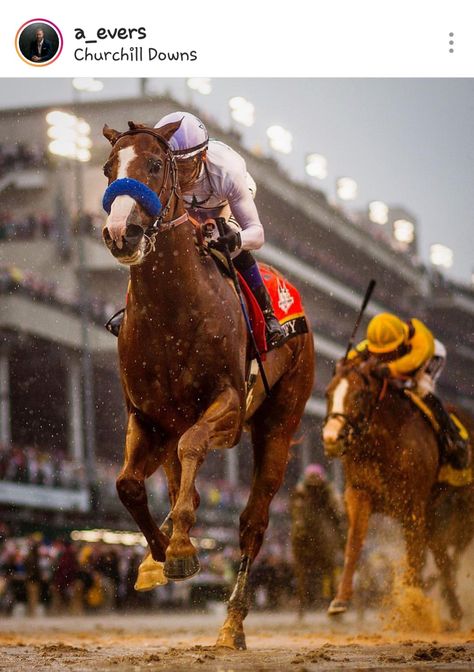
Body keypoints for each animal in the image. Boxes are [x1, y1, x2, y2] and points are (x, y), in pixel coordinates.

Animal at [101, 119, 314, 644]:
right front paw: (161, 554)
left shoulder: (230, 408)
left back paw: (233, 621)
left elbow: (194, 447)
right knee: (179, 482)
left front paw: (179, 550)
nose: (120, 232)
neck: (172, 311)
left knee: (253, 521)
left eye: (155, 165)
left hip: (279, 424)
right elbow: (128, 484)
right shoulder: (148, 418)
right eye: (109, 168)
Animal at [324, 356, 472, 624]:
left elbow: (415, 555)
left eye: (359, 394)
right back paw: (452, 606)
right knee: (442, 556)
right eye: (328, 393)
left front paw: (414, 604)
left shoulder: (413, 503)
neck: (383, 442)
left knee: (452, 553)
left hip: (464, 509)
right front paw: (340, 600)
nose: (332, 437)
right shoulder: (359, 492)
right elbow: (354, 543)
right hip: (434, 515)